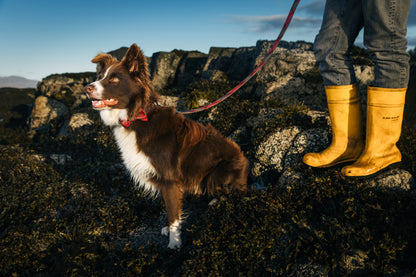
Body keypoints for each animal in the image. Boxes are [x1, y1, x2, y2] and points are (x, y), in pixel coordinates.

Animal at [83, 43, 249, 248]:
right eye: (100, 76)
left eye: (114, 78)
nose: (87, 88)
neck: (136, 116)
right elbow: (170, 209)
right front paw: (169, 233)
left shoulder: (169, 179)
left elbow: (173, 215)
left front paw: (174, 243)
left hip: (219, 173)